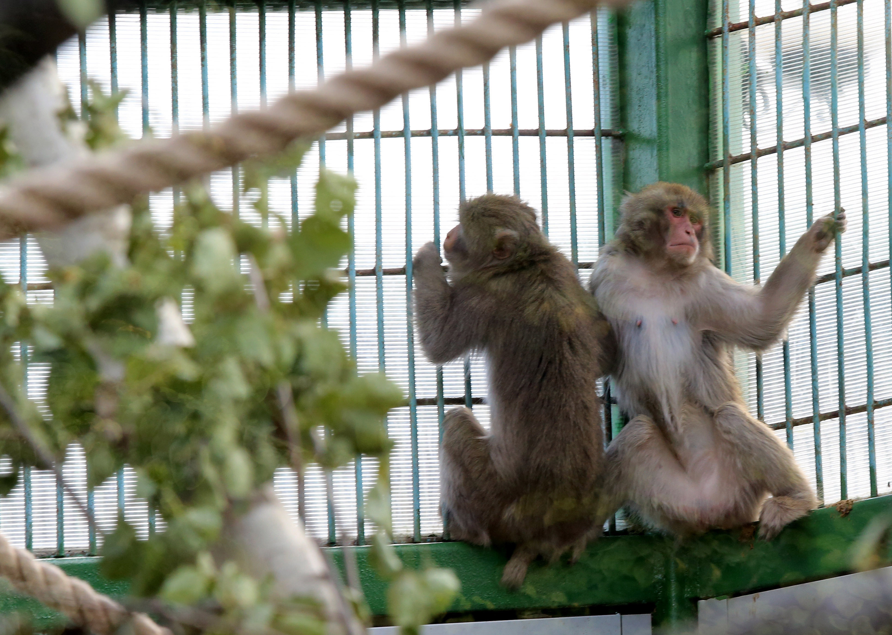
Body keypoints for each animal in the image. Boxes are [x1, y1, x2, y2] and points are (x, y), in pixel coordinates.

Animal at [588, 181, 848, 540]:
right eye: (677, 212)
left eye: (696, 221)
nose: (690, 232)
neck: (657, 272)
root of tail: (710, 511)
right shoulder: (605, 275)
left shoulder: (704, 284)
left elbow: (761, 321)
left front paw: (817, 236)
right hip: (669, 504)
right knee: (639, 431)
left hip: (740, 490)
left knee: (729, 417)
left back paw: (796, 499)